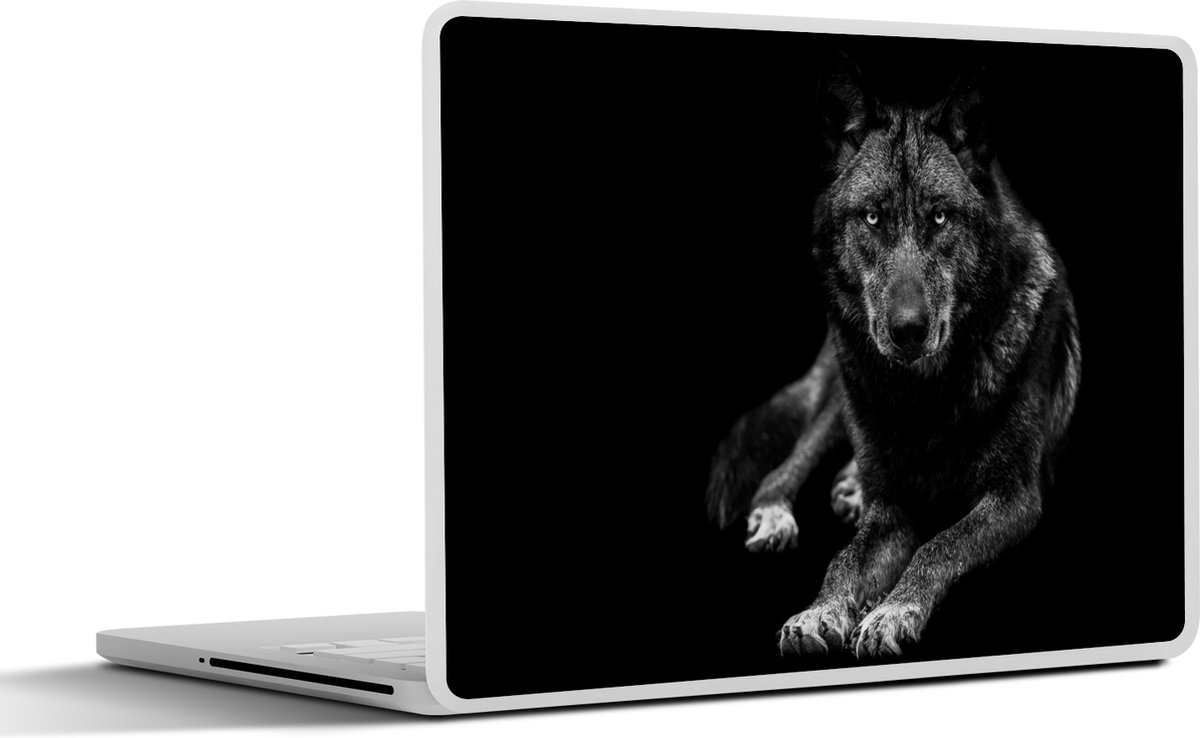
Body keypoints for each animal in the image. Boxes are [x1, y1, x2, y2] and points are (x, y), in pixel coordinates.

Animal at [705, 59, 1081, 659]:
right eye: (873, 219)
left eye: (941, 218)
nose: (908, 330)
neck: (925, 395)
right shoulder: (893, 512)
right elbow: (844, 559)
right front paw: (819, 612)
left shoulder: (1015, 497)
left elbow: (941, 543)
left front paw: (890, 611)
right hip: (842, 398)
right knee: (784, 468)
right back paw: (779, 511)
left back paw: (849, 489)